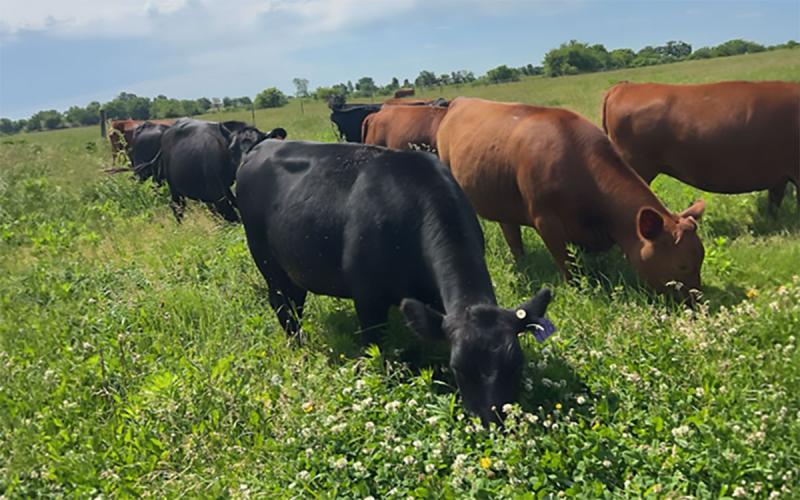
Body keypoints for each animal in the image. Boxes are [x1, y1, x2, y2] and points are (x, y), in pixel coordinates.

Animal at [157, 118, 285, 222]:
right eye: (232, 149)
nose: (243, 169)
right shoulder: (218, 195)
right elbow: (233, 217)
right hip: (174, 188)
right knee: (177, 207)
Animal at [236, 140, 557, 425]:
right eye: (458, 368)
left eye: (516, 365)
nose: (492, 423)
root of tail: (260, 146)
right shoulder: (367, 298)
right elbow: (374, 346)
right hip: (266, 259)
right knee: (282, 306)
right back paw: (298, 347)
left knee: (296, 300)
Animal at [437, 97, 706, 298]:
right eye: (682, 265)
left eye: (701, 260)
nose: (696, 302)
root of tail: (459, 101)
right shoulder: (546, 220)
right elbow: (566, 263)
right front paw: (577, 289)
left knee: (510, 229)